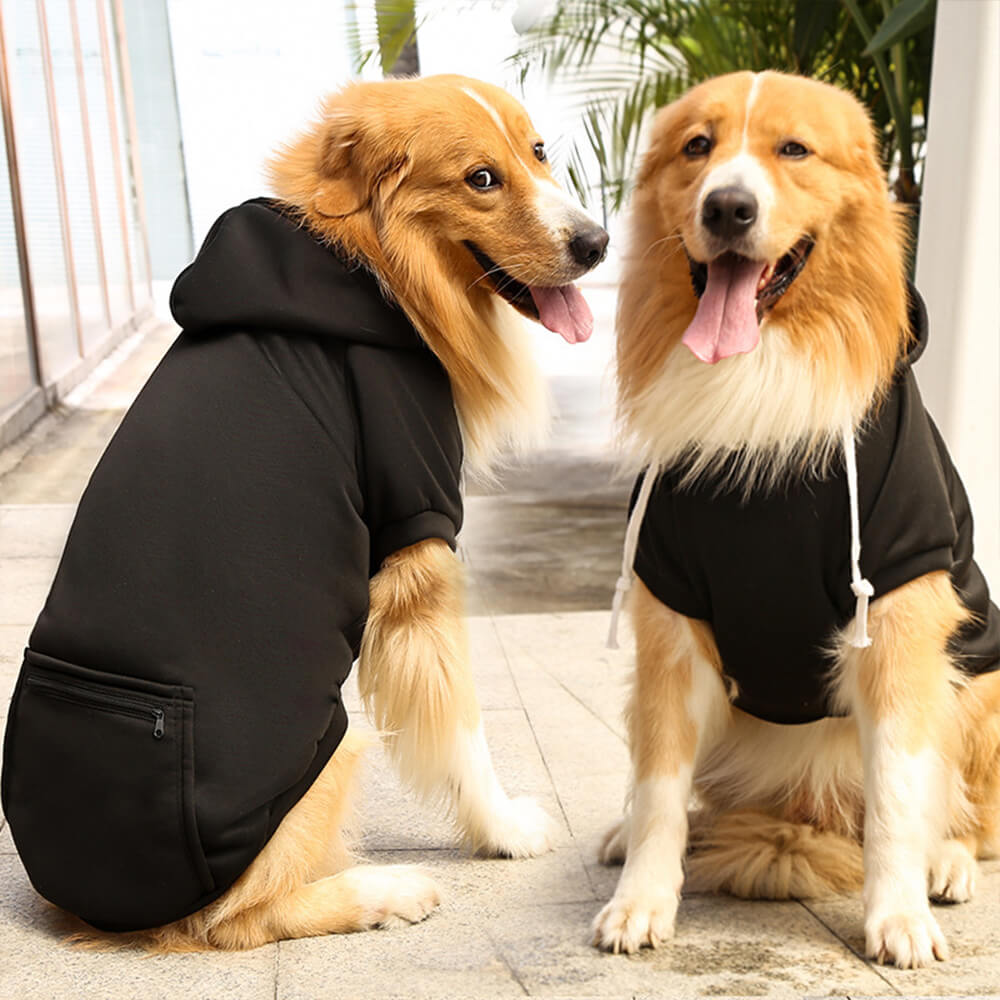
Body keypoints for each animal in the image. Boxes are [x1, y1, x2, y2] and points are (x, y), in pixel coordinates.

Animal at [0, 74, 604, 948]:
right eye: (481, 179)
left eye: (539, 151)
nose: (597, 243)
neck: (373, 258)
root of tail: (93, 903)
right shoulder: (420, 536)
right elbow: (461, 726)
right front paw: (505, 832)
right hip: (331, 749)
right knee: (235, 918)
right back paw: (385, 890)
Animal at [596, 72, 996, 968]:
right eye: (698, 147)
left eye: (794, 150)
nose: (728, 209)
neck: (760, 376)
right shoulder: (669, 620)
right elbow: (659, 784)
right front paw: (642, 896)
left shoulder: (899, 614)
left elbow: (897, 792)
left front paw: (898, 914)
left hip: (977, 682)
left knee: (966, 811)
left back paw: (947, 861)